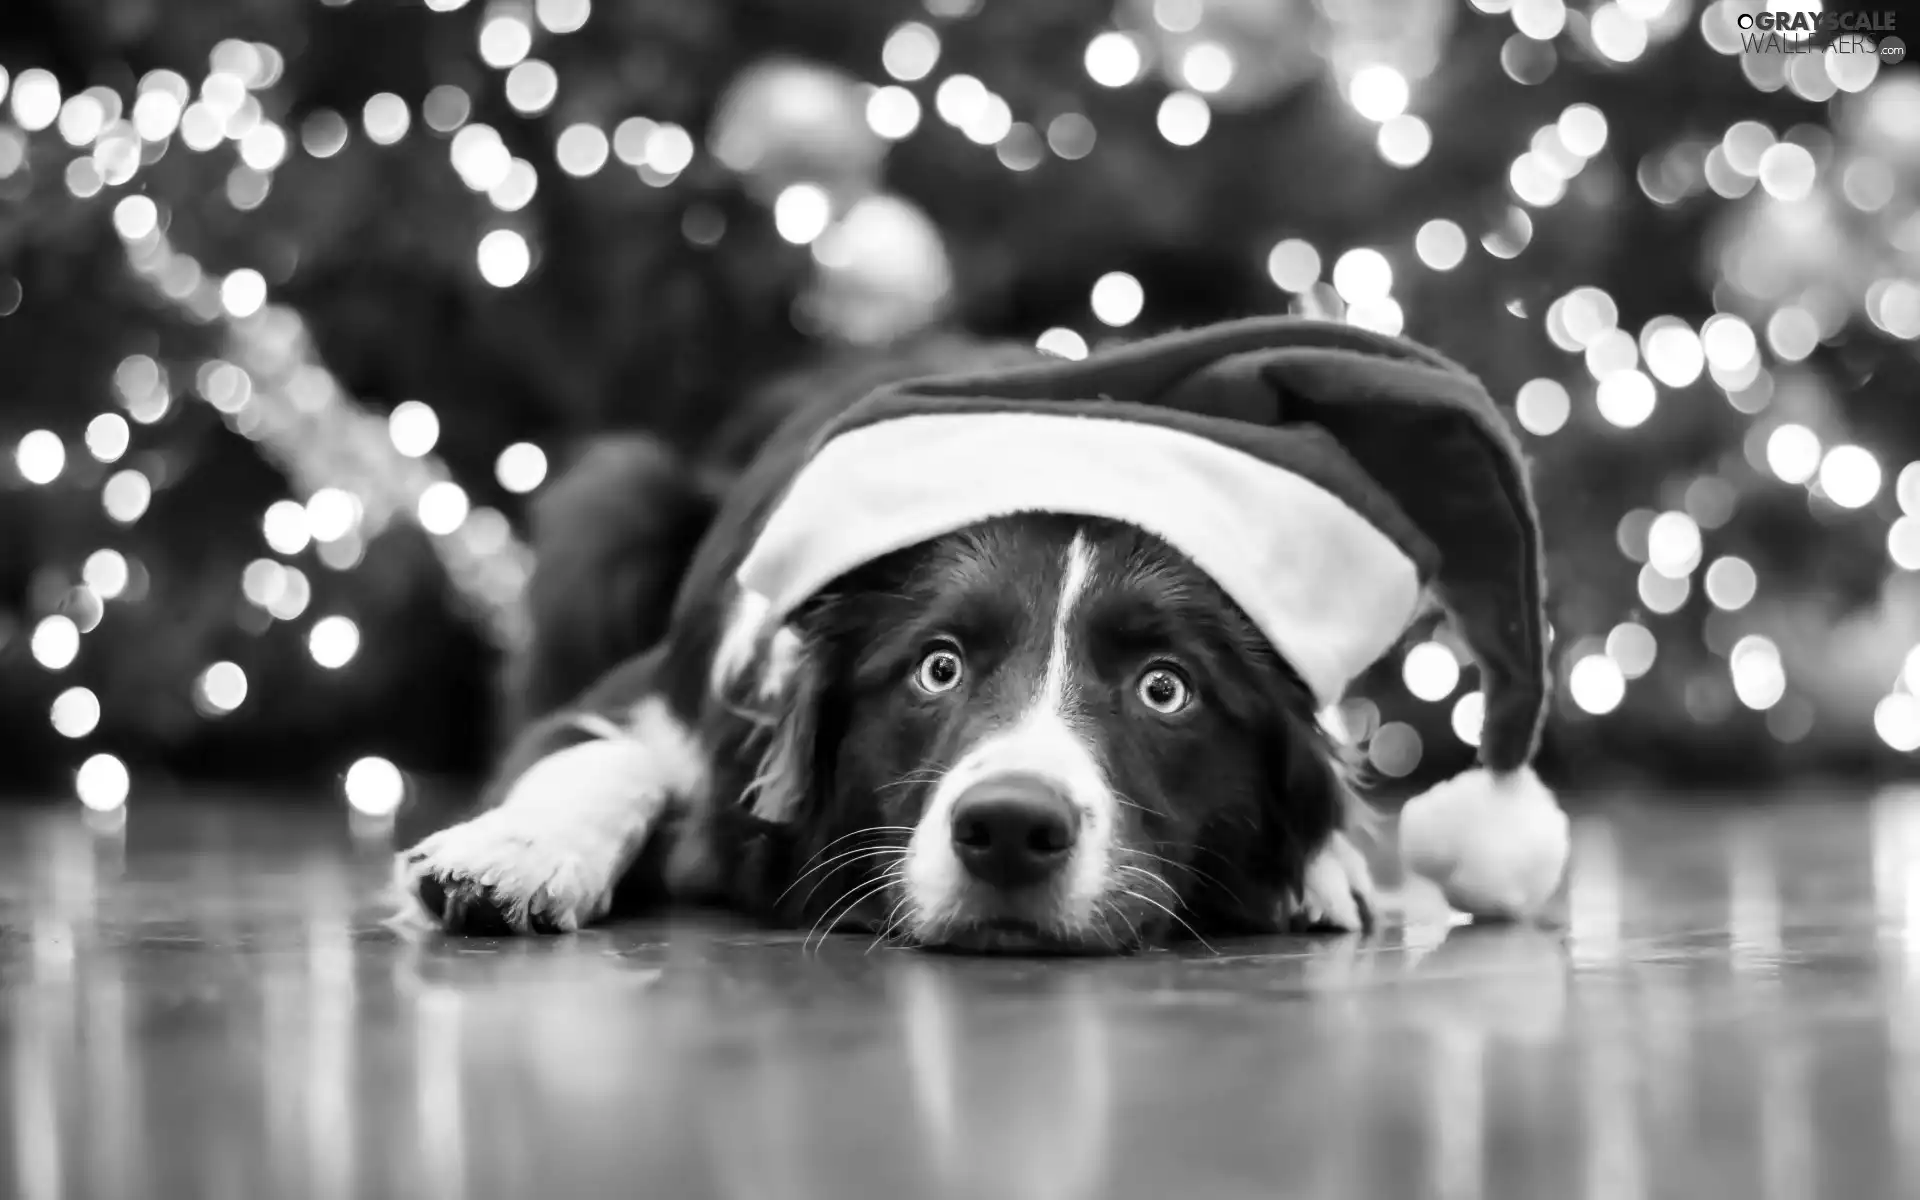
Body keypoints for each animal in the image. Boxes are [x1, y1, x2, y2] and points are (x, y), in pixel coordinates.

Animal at [393, 339, 1382, 956]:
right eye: (937, 667)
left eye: (1165, 688)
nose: (1011, 827)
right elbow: (597, 753)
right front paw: (512, 854)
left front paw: (1324, 868)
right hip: (616, 508)